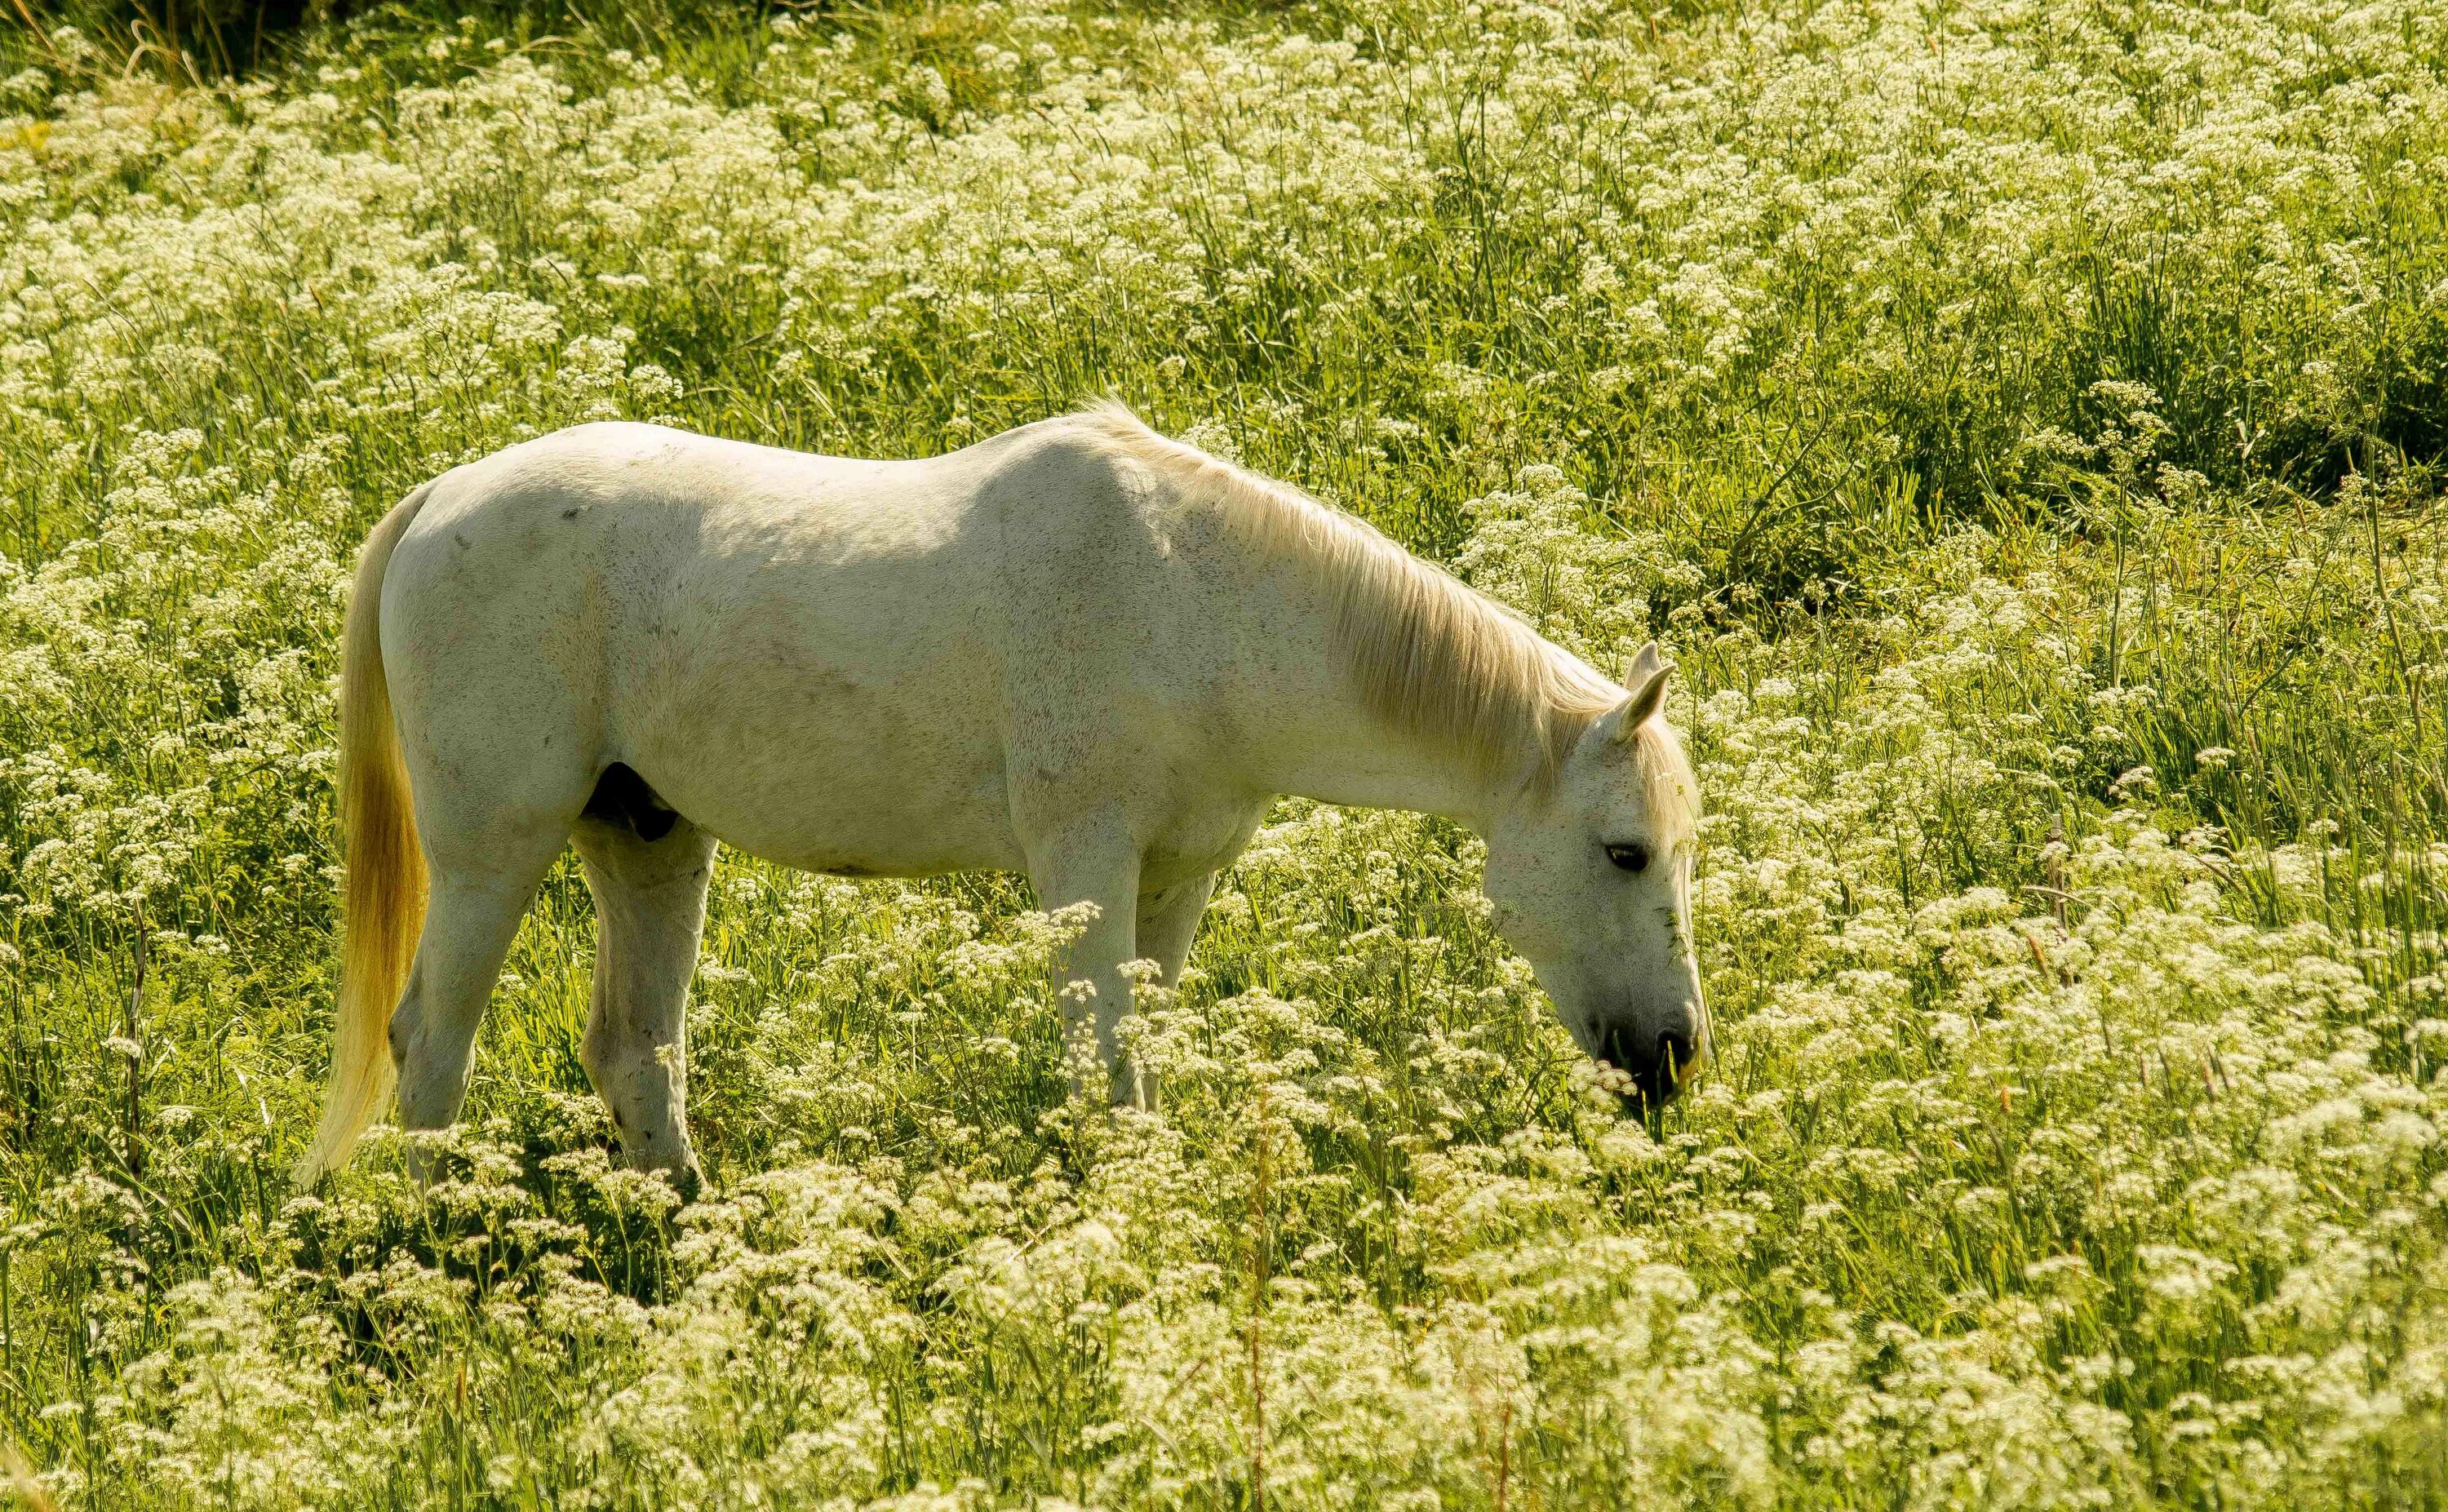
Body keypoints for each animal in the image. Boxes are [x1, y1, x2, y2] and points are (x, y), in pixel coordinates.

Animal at [291, 401, 1704, 1189]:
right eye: (1626, 852)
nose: (1676, 1057)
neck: (1192, 600)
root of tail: (436, 501)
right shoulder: (1082, 863)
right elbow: (1106, 1064)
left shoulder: (1176, 877)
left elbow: (1139, 1053)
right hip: (496, 852)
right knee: (430, 1046)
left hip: (646, 838)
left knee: (634, 1048)